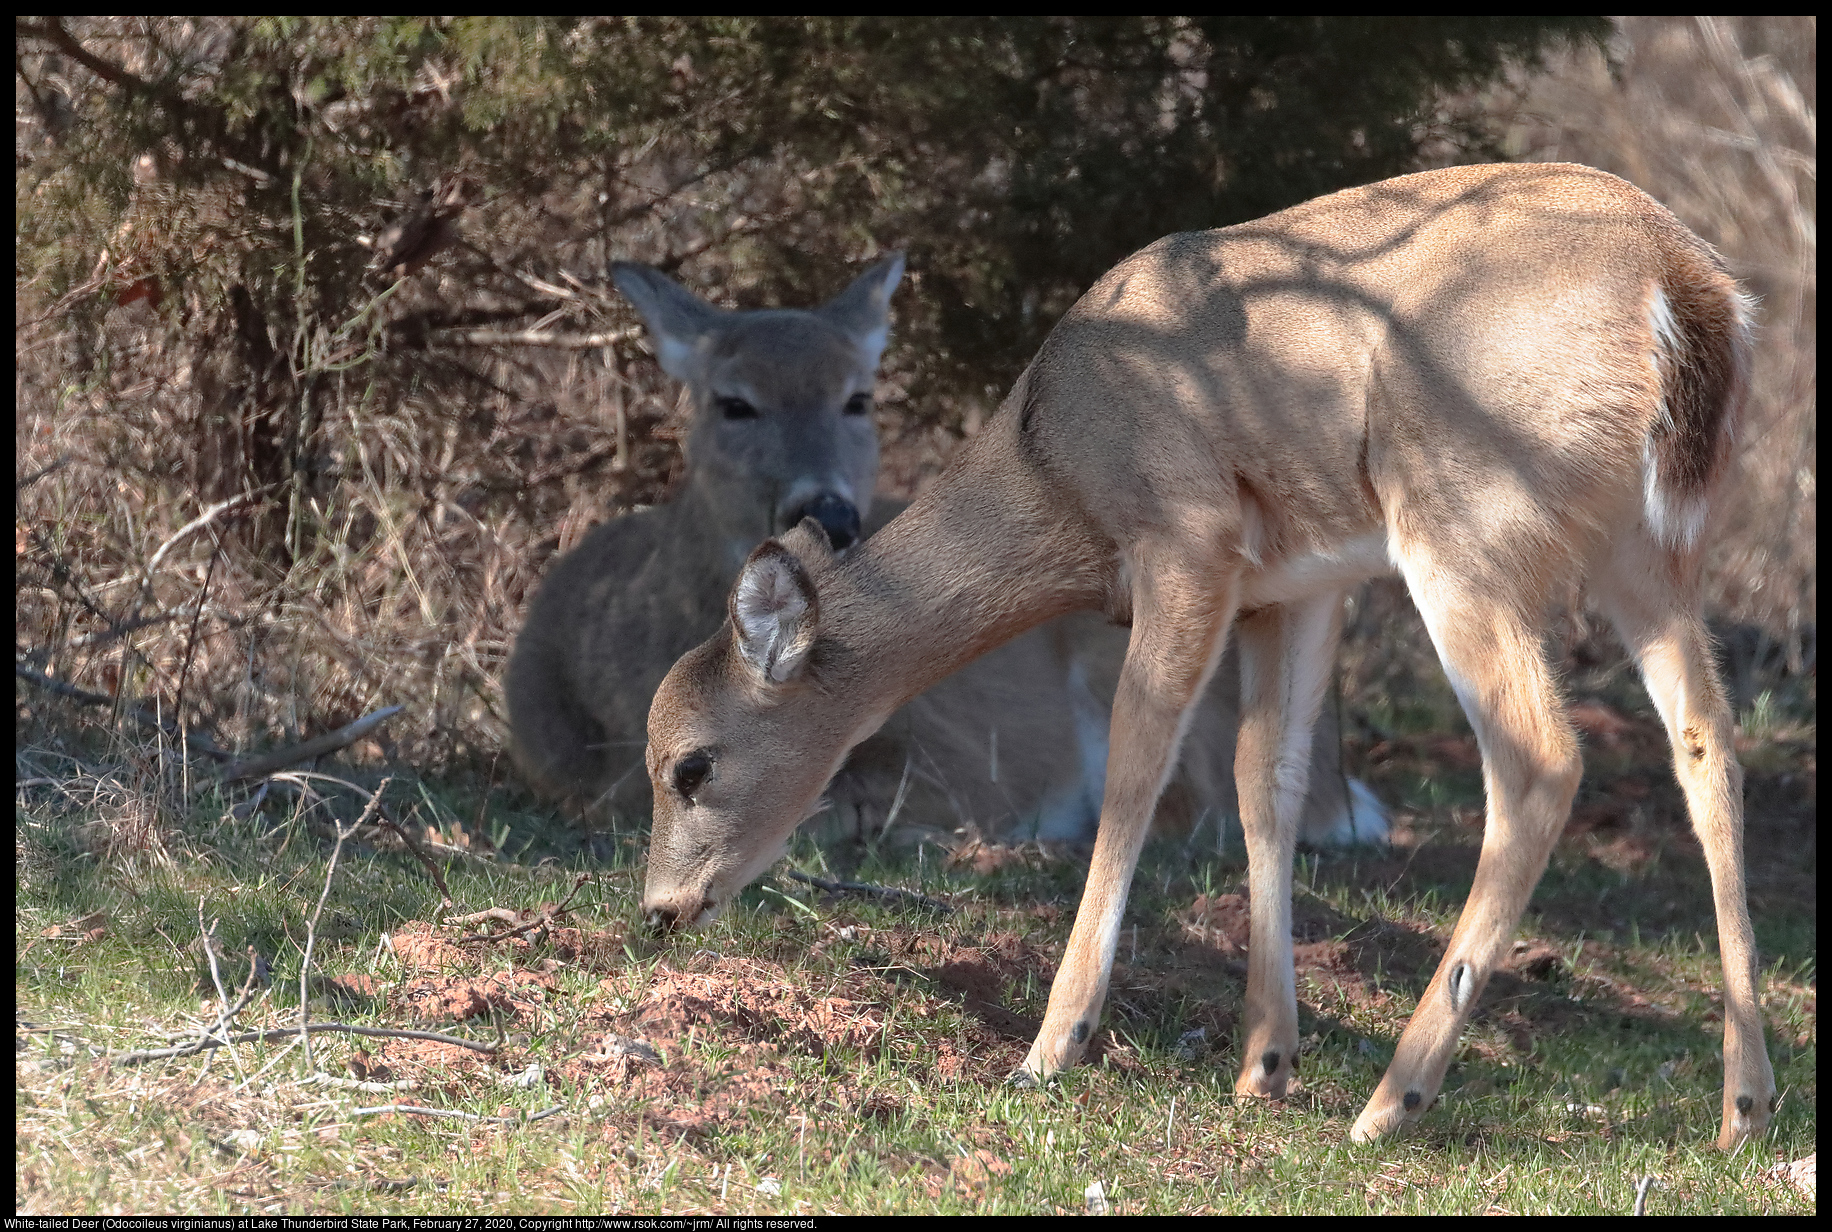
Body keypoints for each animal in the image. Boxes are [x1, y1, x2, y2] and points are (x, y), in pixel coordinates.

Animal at [641, 161, 1773, 1144]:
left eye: (691, 764)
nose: (658, 909)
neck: (1055, 465)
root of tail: (1676, 278)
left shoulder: (1185, 544)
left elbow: (1135, 767)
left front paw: (1053, 1046)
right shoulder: (1296, 584)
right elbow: (1263, 777)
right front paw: (1263, 1062)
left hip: (1461, 523)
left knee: (1540, 759)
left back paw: (1391, 1099)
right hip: (1649, 547)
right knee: (1706, 737)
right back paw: (1742, 1108)